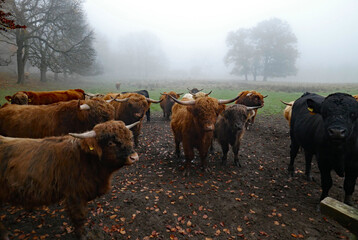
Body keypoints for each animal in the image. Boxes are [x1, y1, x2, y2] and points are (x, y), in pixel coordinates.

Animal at [0, 120, 140, 238]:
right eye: (111, 143)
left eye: (129, 138)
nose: (134, 157)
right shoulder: (75, 195)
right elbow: (79, 217)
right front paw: (82, 235)